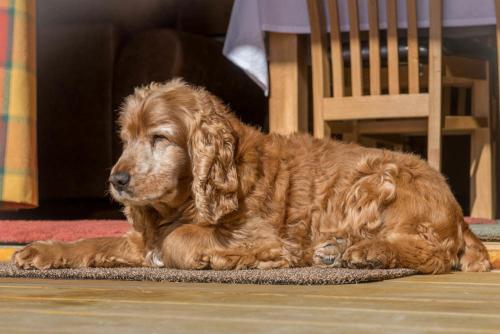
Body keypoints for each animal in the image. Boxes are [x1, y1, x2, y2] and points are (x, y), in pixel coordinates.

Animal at [13, 79, 490, 274]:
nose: (118, 180)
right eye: (125, 138)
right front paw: (39, 251)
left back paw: (365, 253)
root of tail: (455, 211)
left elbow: (179, 240)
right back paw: (337, 250)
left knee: (431, 252)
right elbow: (93, 241)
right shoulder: (140, 236)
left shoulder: (264, 235)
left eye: (160, 137)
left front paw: (213, 257)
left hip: (377, 179)